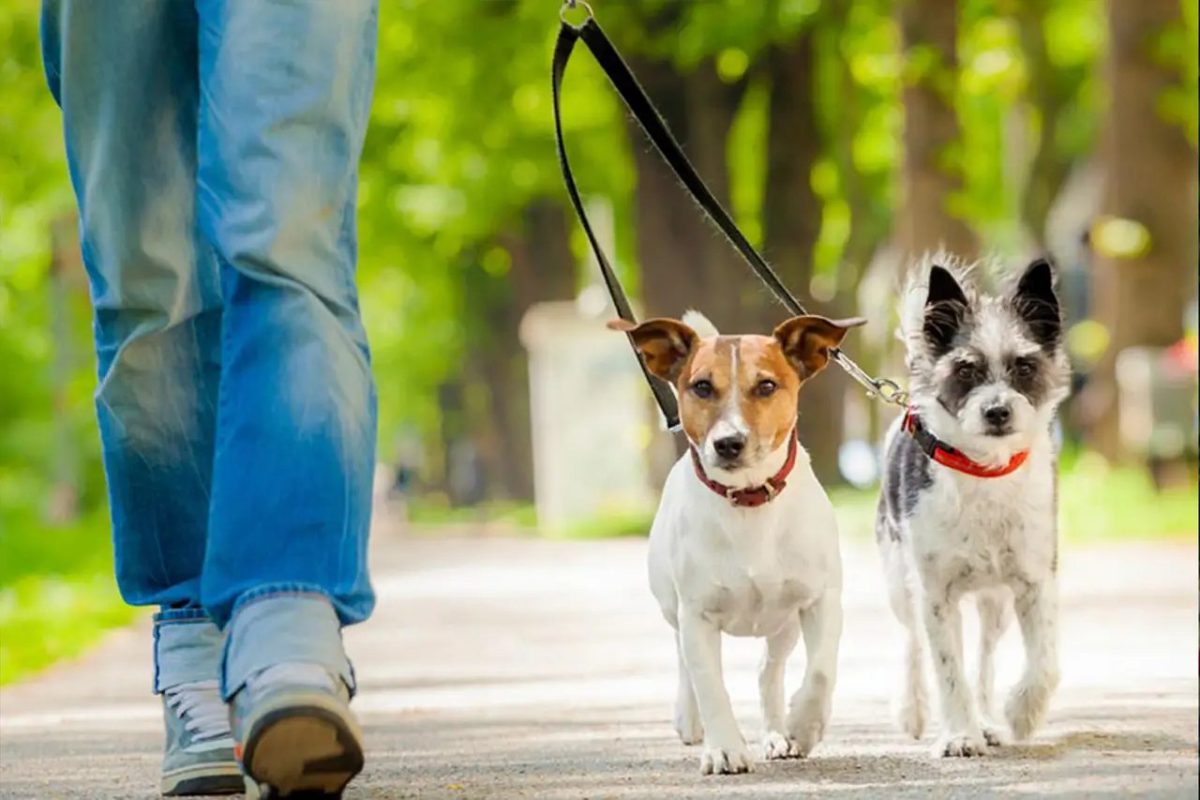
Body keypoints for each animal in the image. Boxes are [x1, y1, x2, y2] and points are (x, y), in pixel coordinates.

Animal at [609, 309, 864, 772]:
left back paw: (777, 733)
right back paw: (690, 719)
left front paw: (803, 726)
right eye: (701, 387)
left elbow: (820, 671)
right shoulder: (697, 614)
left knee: (769, 670)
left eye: (766, 386)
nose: (728, 443)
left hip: (783, 624)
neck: (749, 500)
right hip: (672, 607)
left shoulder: (821, 601)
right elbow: (710, 684)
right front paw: (724, 746)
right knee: (684, 662)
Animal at [873, 256, 1070, 758]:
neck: (984, 471)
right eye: (965, 370)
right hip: (899, 579)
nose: (997, 411)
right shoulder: (935, 594)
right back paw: (914, 709)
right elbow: (947, 670)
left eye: (1024, 366)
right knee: (912, 642)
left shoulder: (1035, 582)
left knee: (984, 658)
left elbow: (1045, 662)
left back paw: (988, 720)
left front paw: (1021, 714)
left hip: (994, 602)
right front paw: (959, 734)